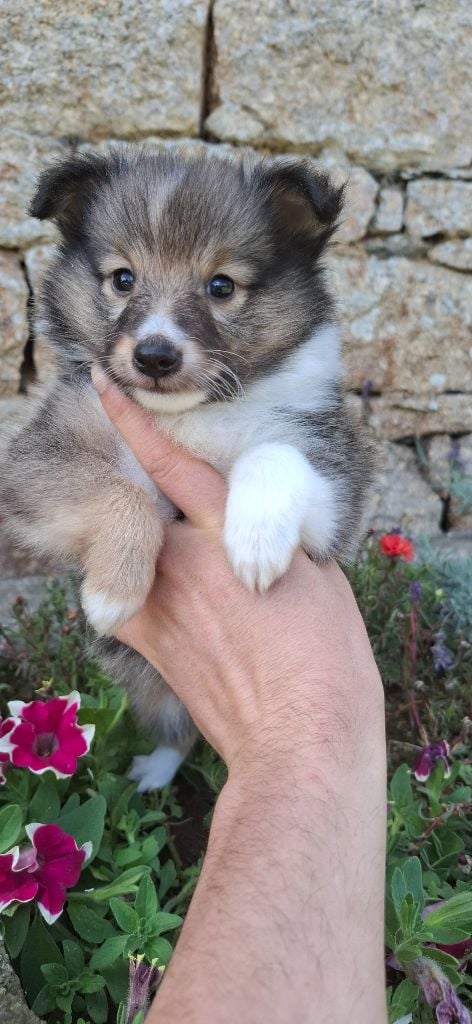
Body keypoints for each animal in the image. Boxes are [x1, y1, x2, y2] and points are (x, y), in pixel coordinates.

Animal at [1, 148, 372, 790]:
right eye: (123, 279)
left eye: (221, 286)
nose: (155, 355)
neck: (190, 415)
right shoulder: (36, 459)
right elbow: (118, 491)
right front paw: (113, 592)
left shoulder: (332, 481)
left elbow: (274, 453)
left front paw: (255, 544)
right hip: (145, 682)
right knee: (176, 728)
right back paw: (152, 772)